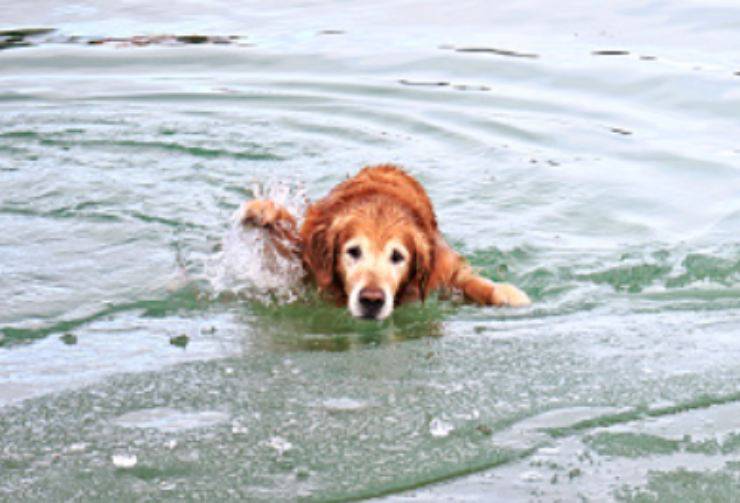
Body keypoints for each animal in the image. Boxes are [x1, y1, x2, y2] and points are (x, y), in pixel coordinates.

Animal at [243, 167, 532, 320]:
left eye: (397, 257)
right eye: (353, 251)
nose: (372, 300)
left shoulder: (443, 270)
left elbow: (472, 282)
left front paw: (509, 295)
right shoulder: (308, 267)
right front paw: (263, 212)